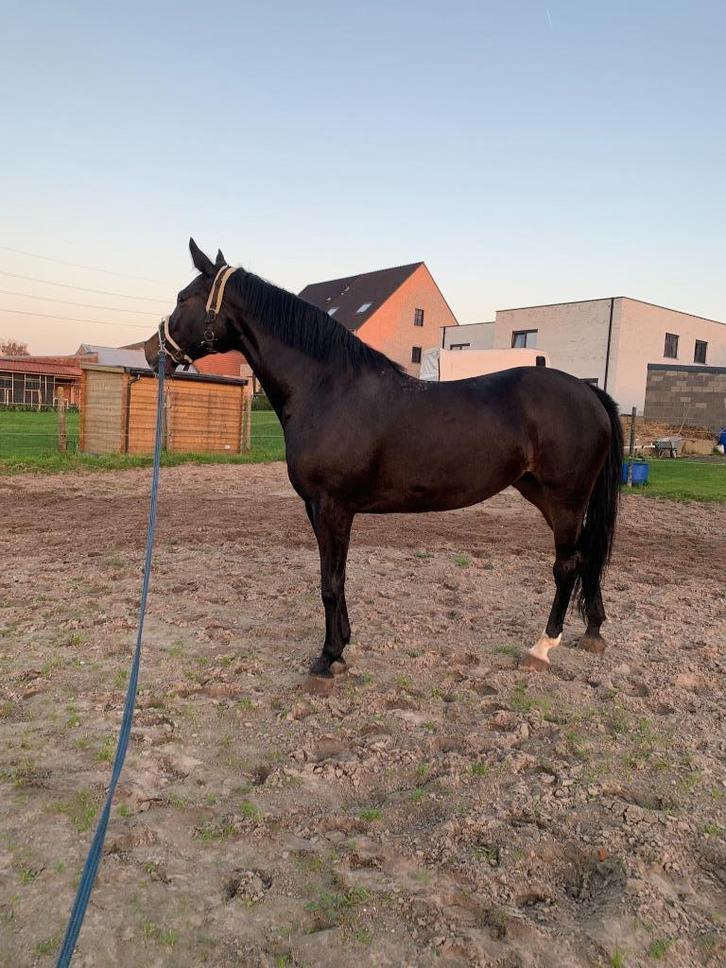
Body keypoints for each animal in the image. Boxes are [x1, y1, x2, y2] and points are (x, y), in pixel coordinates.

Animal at [145, 239, 623, 679]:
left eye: (183, 297)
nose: (153, 350)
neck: (328, 388)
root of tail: (589, 392)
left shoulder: (331, 507)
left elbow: (330, 583)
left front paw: (327, 658)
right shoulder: (321, 509)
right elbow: (335, 578)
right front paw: (342, 644)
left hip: (565, 499)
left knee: (567, 564)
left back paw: (543, 646)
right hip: (542, 494)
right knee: (587, 555)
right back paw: (593, 630)